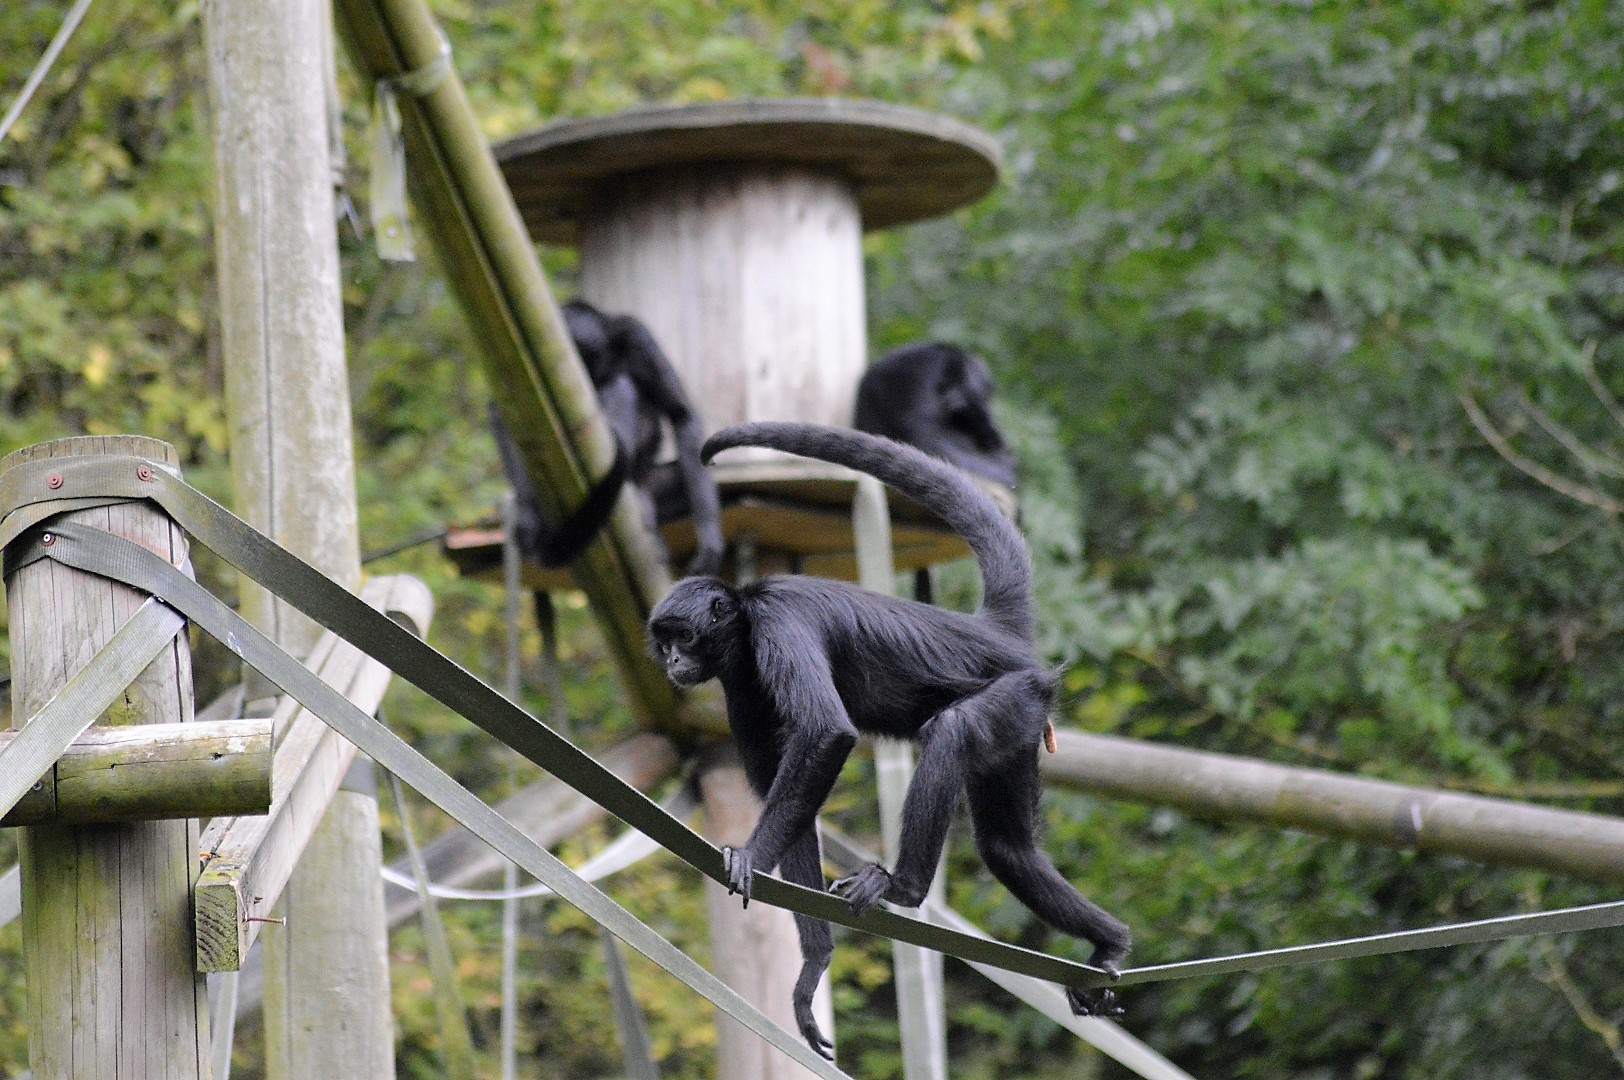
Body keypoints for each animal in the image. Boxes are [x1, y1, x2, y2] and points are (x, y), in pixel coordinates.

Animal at [646, 421, 1129, 1059]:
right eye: (664, 642)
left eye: (683, 637)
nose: (673, 661)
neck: (747, 622)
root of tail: (991, 633)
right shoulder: (740, 685)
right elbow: (784, 785)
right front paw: (814, 966)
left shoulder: (779, 626)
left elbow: (825, 734)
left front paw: (750, 856)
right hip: (1023, 726)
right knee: (1007, 849)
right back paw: (1110, 942)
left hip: (1017, 694)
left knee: (953, 730)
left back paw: (902, 888)